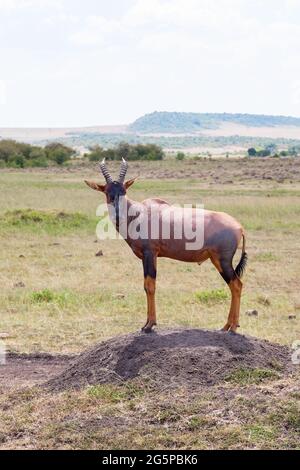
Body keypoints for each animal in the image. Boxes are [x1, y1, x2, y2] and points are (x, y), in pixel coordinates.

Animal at [85, 160, 248, 332]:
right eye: (107, 192)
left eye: (124, 191)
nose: (118, 216)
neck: (140, 213)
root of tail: (239, 227)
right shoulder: (149, 256)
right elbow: (147, 285)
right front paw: (146, 323)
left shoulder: (150, 253)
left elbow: (150, 285)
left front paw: (149, 325)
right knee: (235, 285)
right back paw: (226, 326)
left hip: (223, 261)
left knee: (236, 285)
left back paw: (232, 327)